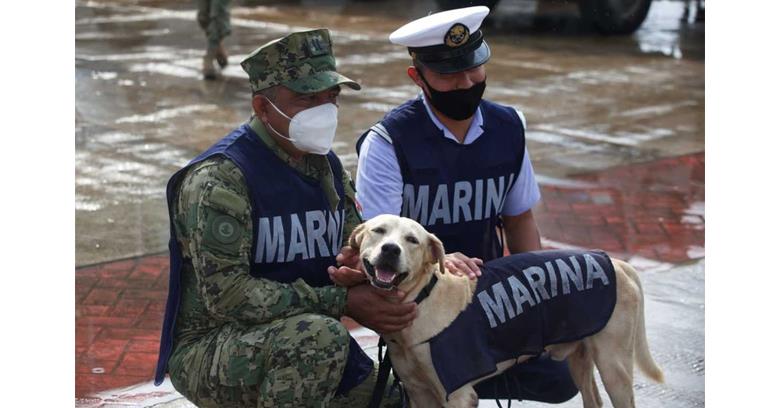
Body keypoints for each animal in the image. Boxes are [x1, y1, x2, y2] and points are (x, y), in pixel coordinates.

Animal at [348, 215, 660, 406]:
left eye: (412, 240)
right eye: (378, 231)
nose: (390, 249)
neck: (423, 298)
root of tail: (617, 263)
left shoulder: (458, 395)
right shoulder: (418, 392)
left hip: (614, 367)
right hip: (581, 358)